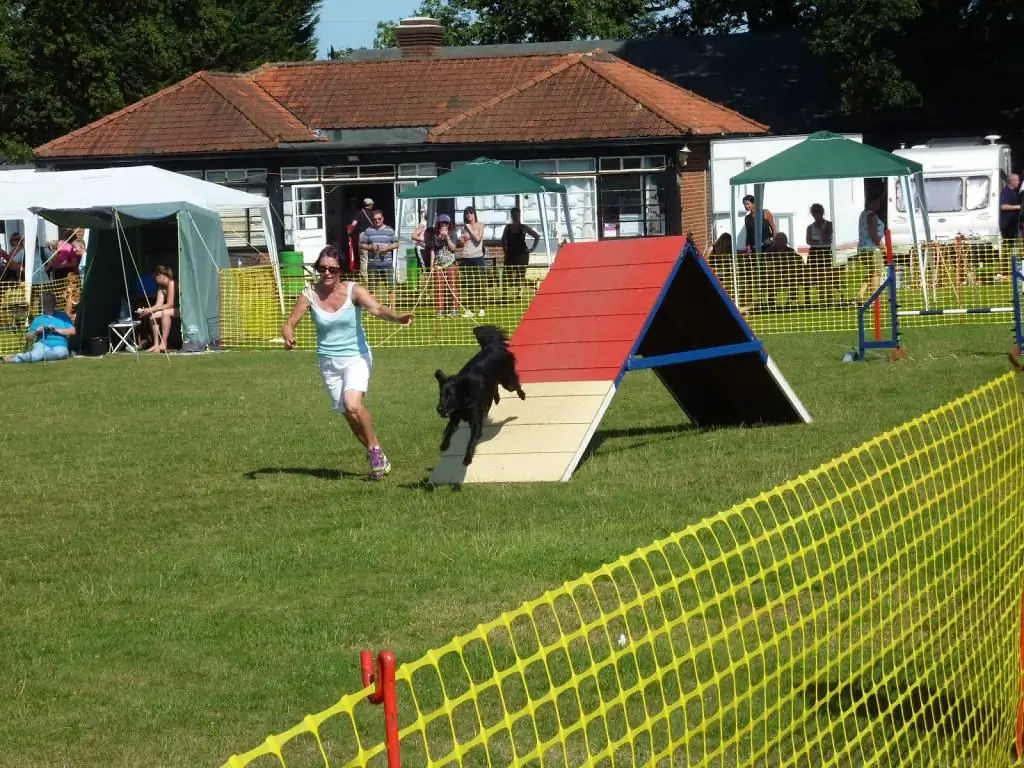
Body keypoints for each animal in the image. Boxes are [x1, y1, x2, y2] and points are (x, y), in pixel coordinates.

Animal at [434, 323, 528, 466]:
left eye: (451, 395)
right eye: (441, 394)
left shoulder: (476, 422)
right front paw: (444, 445)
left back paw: (521, 395)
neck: (465, 399)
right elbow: (449, 430)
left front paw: (467, 458)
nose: (439, 409)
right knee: (494, 388)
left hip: (507, 381)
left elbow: (471, 441)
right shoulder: (455, 418)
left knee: (515, 383)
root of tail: (492, 345)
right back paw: (497, 398)